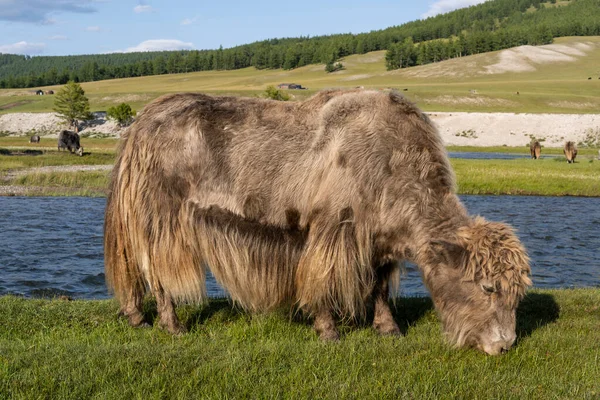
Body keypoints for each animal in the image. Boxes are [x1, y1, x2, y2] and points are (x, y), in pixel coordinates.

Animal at [105, 90, 532, 354]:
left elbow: (379, 286)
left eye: (516, 294)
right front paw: (329, 332)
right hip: (160, 221)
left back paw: (138, 319)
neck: (393, 164)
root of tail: (139, 124)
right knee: (157, 273)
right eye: (488, 287)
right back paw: (171, 325)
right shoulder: (333, 232)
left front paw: (388, 328)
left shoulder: (379, 242)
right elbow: (323, 281)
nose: (504, 345)